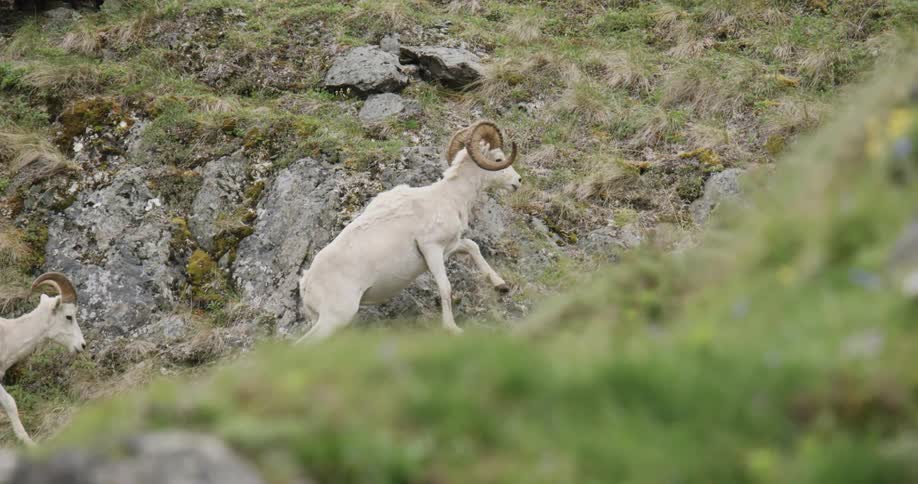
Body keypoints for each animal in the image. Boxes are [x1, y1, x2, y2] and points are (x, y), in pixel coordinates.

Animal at [297, 120, 522, 343]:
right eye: (499, 158)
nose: (518, 181)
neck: (450, 197)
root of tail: (306, 284)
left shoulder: (451, 246)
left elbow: (472, 246)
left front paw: (500, 285)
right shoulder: (432, 249)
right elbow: (445, 287)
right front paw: (452, 329)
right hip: (335, 318)